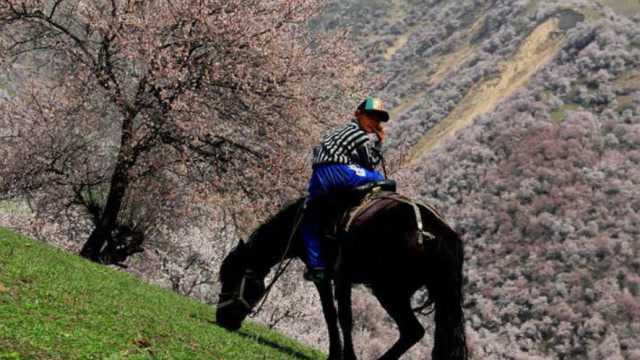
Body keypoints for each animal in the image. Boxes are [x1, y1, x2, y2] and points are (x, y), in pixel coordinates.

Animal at [215, 194, 464, 360]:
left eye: (232, 278)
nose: (222, 319)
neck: (301, 222)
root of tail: (439, 234)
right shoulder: (341, 279)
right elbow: (341, 315)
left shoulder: (327, 276)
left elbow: (335, 315)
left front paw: (339, 356)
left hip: (390, 292)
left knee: (413, 330)